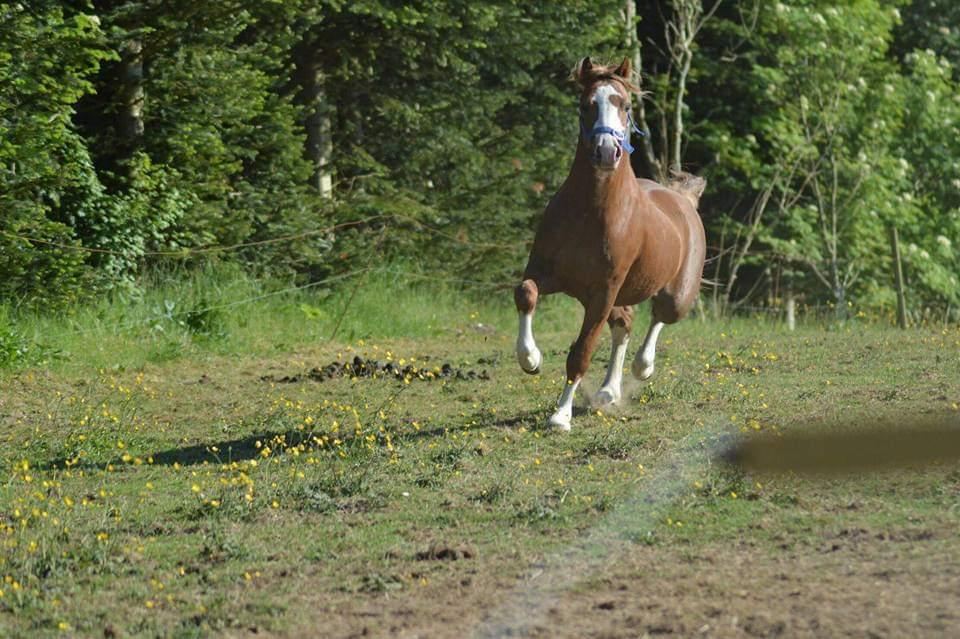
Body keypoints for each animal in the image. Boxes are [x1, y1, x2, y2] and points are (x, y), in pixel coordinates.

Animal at [512, 57, 708, 432]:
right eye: (585, 105)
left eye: (626, 106)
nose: (606, 152)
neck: (592, 211)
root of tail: (682, 199)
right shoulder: (547, 272)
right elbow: (526, 293)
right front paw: (530, 358)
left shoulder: (603, 291)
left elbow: (582, 352)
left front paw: (560, 416)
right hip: (611, 296)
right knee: (624, 325)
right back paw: (608, 391)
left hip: (674, 297)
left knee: (659, 316)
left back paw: (642, 367)